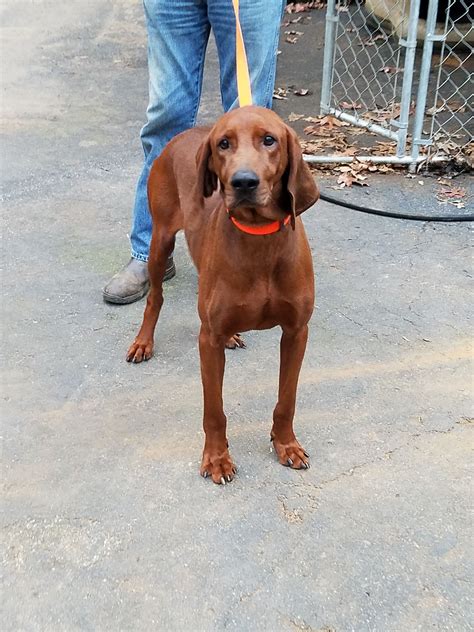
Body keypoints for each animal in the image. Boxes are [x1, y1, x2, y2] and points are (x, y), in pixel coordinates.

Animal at [126, 107, 318, 484]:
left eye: (269, 140)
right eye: (224, 144)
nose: (243, 182)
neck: (258, 236)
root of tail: (186, 133)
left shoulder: (296, 332)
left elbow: (286, 399)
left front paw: (286, 444)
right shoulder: (208, 340)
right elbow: (214, 409)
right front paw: (217, 458)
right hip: (159, 241)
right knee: (155, 298)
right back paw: (143, 342)